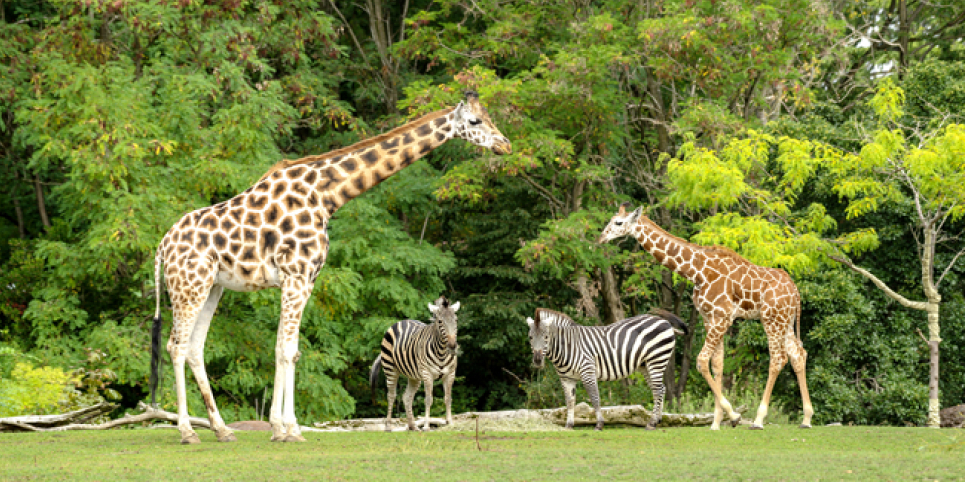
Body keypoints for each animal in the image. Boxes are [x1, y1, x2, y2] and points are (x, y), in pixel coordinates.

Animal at [370, 296, 460, 432]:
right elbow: (428, 399)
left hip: (413, 376)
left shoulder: (450, 374)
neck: (442, 353)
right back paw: (388, 426)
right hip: (390, 369)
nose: (452, 346)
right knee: (391, 396)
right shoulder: (427, 374)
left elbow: (448, 398)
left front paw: (450, 423)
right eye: (440, 321)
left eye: (456, 320)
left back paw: (412, 426)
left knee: (406, 397)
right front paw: (427, 426)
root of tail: (402, 321)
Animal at [524, 306, 688, 432]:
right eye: (530, 338)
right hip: (645, 365)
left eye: (546, 337)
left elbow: (595, 398)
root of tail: (664, 321)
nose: (537, 361)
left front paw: (599, 424)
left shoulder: (587, 371)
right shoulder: (566, 378)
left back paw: (652, 423)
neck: (567, 347)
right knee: (660, 389)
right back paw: (657, 420)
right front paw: (569, 425)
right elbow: (569, 401)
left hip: (656, 360)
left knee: (658, 390)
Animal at [596, 202, 812, 430]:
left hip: (772, 320)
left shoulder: (723, 317)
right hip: (785, 320)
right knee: (798, 354)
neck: (697, 272)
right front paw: (717, 422)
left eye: (618, 222)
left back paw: (759, 420)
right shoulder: (709, 318)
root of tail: (796, 292)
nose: (601, 238)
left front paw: (733, 416)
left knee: (778, 358)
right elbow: (717, 365)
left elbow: (701, 361)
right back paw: (806, 419)